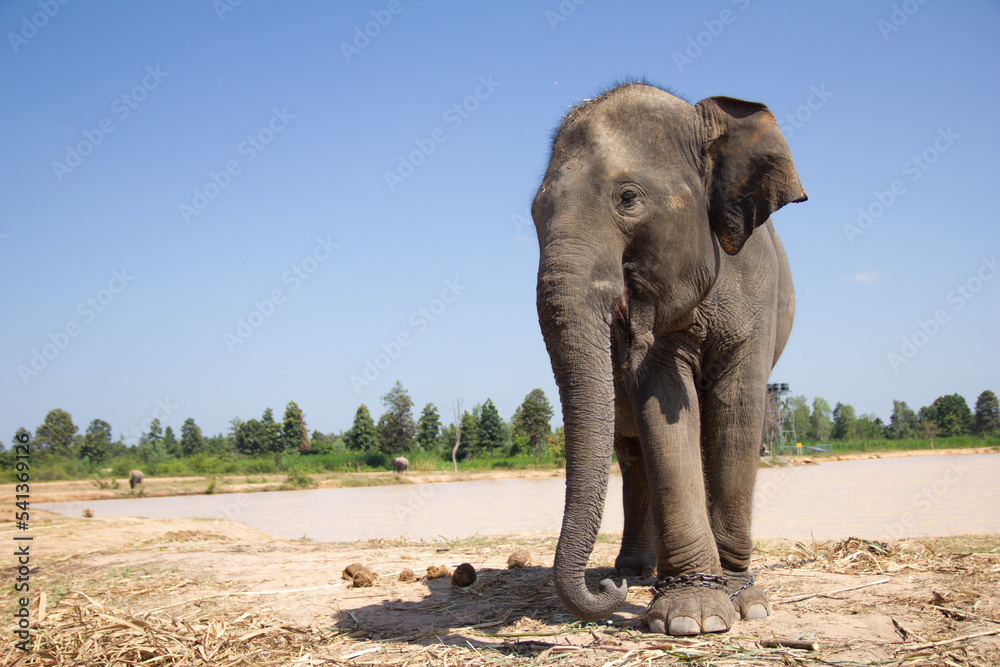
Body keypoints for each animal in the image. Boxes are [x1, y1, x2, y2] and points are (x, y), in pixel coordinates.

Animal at [532, 83, 806, 636]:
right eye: (533, 213)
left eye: (628, 199)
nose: (606, 588)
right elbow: (661, 403)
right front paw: (690, 618)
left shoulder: (759, 286)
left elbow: (737, 410)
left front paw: (743, 603)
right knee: (634, 454)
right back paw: (638, 573)